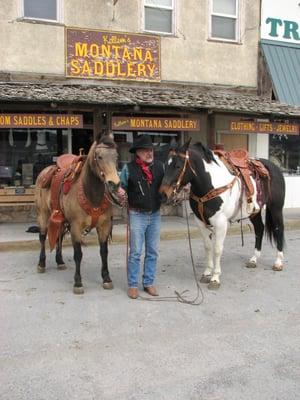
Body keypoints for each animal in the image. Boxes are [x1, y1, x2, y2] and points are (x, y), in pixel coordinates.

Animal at [35, 136, 122, 296]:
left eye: (116, 157)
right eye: (99, 156)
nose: (114, 184)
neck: (91, 194)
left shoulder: (104, 226)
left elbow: (104, 252)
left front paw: (106, 279)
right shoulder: (76, 227)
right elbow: (78, 254)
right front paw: (78, 282)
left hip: (61, 219)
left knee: (59, 237)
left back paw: (60, 261)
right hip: (42, 214)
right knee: (43, 237)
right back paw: (41, 264)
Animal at [158, 139, 284, 290]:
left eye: (178, 165)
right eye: (165, 165)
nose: (163, 195)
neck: (210, 185)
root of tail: (275, 168)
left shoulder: (221, 223)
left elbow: (217, 249)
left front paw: (215, 278)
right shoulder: (200, 222)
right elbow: (207, 247)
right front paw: (207, 273)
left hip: (276, 208)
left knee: (279, 230)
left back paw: (278, 262)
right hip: (254, 211)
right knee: (259, 228)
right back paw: (254, 260)